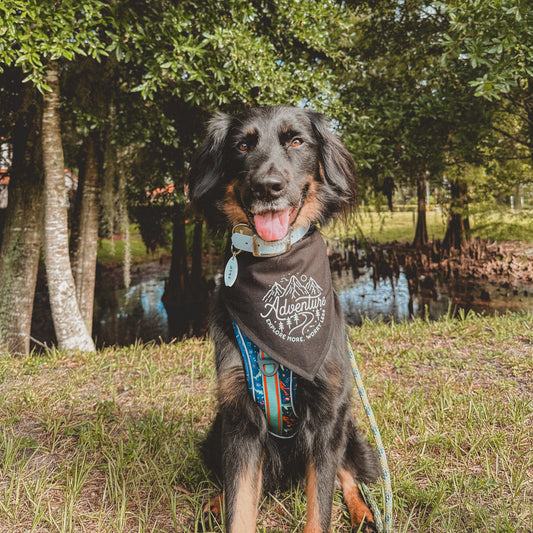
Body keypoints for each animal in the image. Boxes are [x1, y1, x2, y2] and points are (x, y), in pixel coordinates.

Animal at [187, 106, 378, 528]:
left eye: (296, 141)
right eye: (242, 145)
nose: (267, 187)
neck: (277, 265)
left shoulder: (327, 413)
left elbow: (321, 506)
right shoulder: (239, 416)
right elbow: (240, 502)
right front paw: (227, 506)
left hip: (347, 425)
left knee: (348, 473)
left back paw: (364, 514)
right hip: (216, 429)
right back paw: (214, 502)